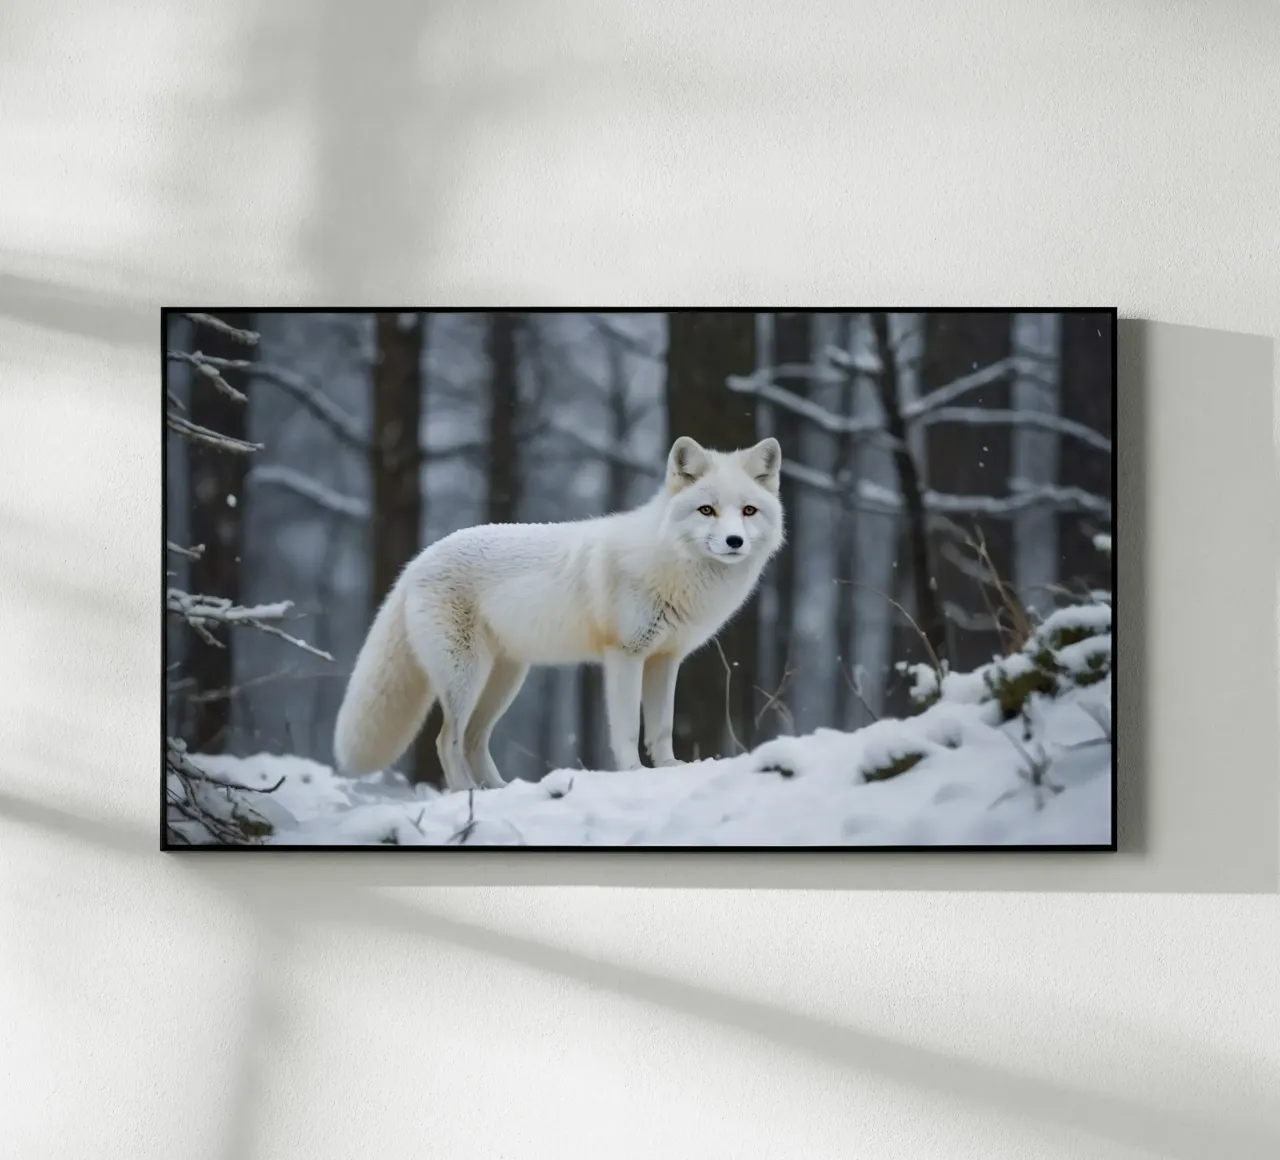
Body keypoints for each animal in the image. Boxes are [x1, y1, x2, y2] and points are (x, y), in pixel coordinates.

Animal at [333, 435, 785, 791]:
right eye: (707, 510)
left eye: (748, 511)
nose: (734, 541)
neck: (668, 565)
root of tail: (417, 561)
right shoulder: (625, 656)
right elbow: (627, 729)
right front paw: (633, 773)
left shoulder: (665, 659)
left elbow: (661, 729)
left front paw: (670, 769)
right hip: (467, 677)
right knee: (447, 742)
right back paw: (468, 794)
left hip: (505, 680)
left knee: (475, 740)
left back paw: (500, 790)